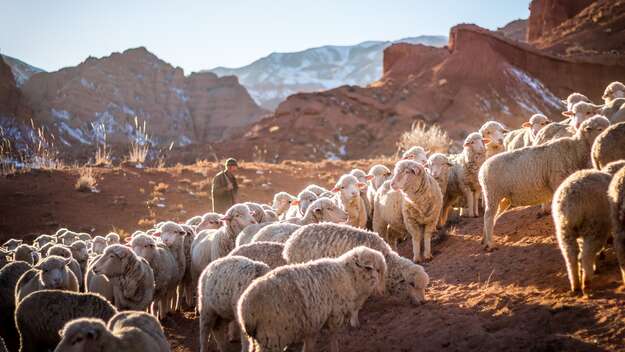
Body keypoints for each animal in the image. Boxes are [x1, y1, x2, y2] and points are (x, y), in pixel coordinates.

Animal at [239, 245, 386, 352]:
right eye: (377, 270)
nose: (382, 292)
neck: (349, 276)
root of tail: (245, 309)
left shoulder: (313, 322)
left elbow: (310, 344)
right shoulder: (335, 315)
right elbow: (334, 336)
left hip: (261, 337)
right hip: (271, 335)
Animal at [478, 116, 608, 250]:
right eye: (600, 129)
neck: (576, 149)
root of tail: (482, 169)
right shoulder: (557, 181)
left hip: (503, 199)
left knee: (493, 216)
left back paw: (485, 240)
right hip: (493, 193)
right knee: (488, 216)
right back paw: (490, 244)